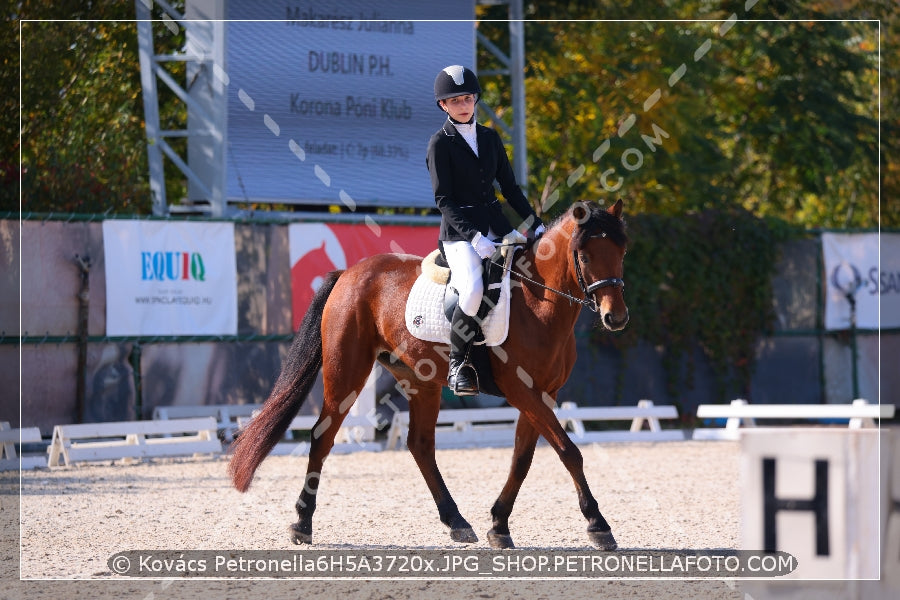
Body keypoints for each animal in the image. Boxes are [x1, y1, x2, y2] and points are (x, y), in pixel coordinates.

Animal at [229, 199, 628, 552]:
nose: (616, 318)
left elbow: (523, 459)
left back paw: (457, 522)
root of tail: (349, 273)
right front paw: (598, 525)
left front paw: (499, 525)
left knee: (420, 444)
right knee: (322, 437)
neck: (537, 301)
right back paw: (302, 522)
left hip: (421, 381)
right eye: (585, 256)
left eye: (621, 252)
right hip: (346, 373)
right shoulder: (522, 390)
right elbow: (568, 450)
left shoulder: (543, 393)